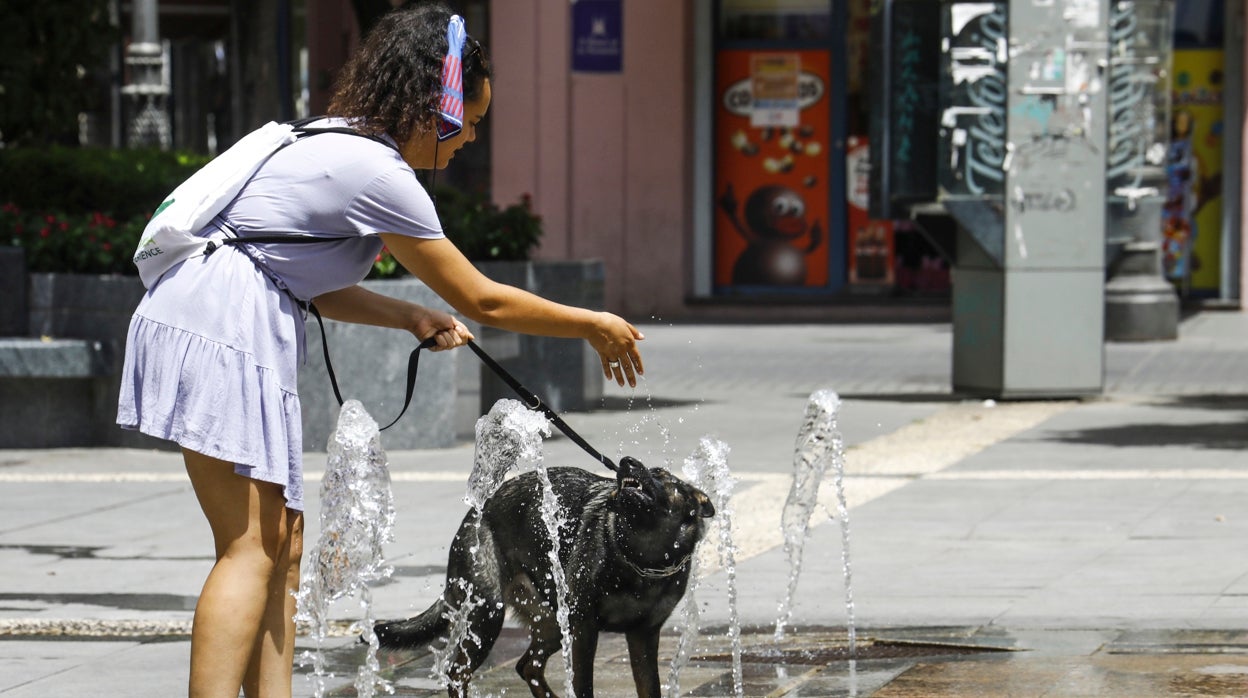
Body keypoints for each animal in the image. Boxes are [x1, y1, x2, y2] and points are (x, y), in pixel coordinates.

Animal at [374, 459, 718, 698]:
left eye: (662, 475)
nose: (626, 462)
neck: (641, 558)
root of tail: (476, 511)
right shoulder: (584, 629)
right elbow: (583, 686)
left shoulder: (643, 636)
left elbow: (650, 688)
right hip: (489, 614)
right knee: (458, 673)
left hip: (552, 623)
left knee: (528, 665)